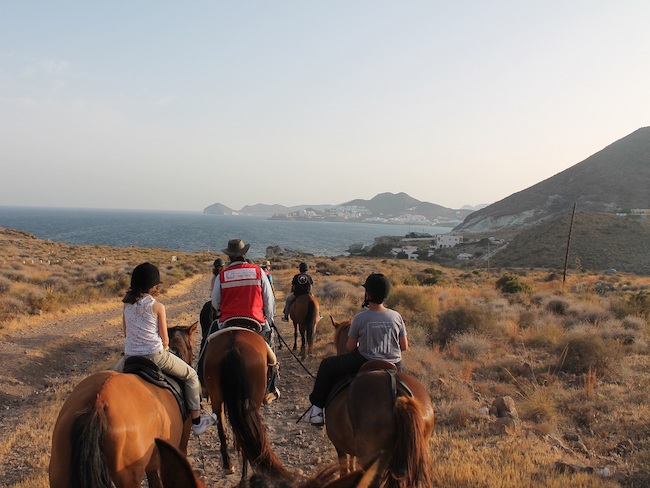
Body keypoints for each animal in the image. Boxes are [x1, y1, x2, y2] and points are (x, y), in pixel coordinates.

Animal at [49, 322, 197, 486]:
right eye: (191, 346)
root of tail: (98, 402)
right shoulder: (180, 445)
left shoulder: (152, 462)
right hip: (128, 477)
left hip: (59, 472)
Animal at [201, 322, 290, 486]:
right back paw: (244, 476)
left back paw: (228, 465)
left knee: (223, 429)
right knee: (248, 433)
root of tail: (234, 348)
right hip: (253, 399)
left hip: (216, 396)